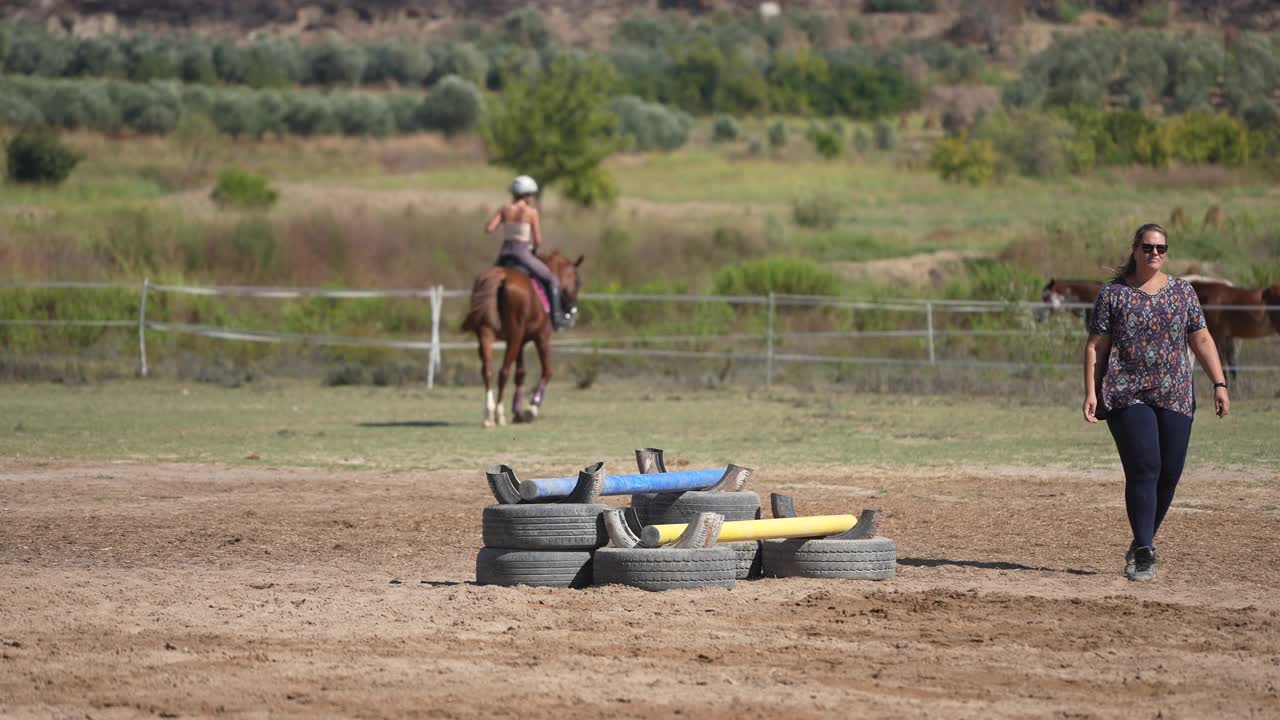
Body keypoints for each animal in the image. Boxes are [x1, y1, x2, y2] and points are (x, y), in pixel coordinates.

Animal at [463, 251, 583, 425]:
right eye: (578, 282)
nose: (572, 308)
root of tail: (501, 276)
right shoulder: (542, 338)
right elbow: (547, 371)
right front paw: (530, 409)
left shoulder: (521, 343)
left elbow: (520, 374)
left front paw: (518, 411)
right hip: (514, 337)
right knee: (503, 372)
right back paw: (499, 414)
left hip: (488, 334)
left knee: (488, 370)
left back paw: (489, 414)